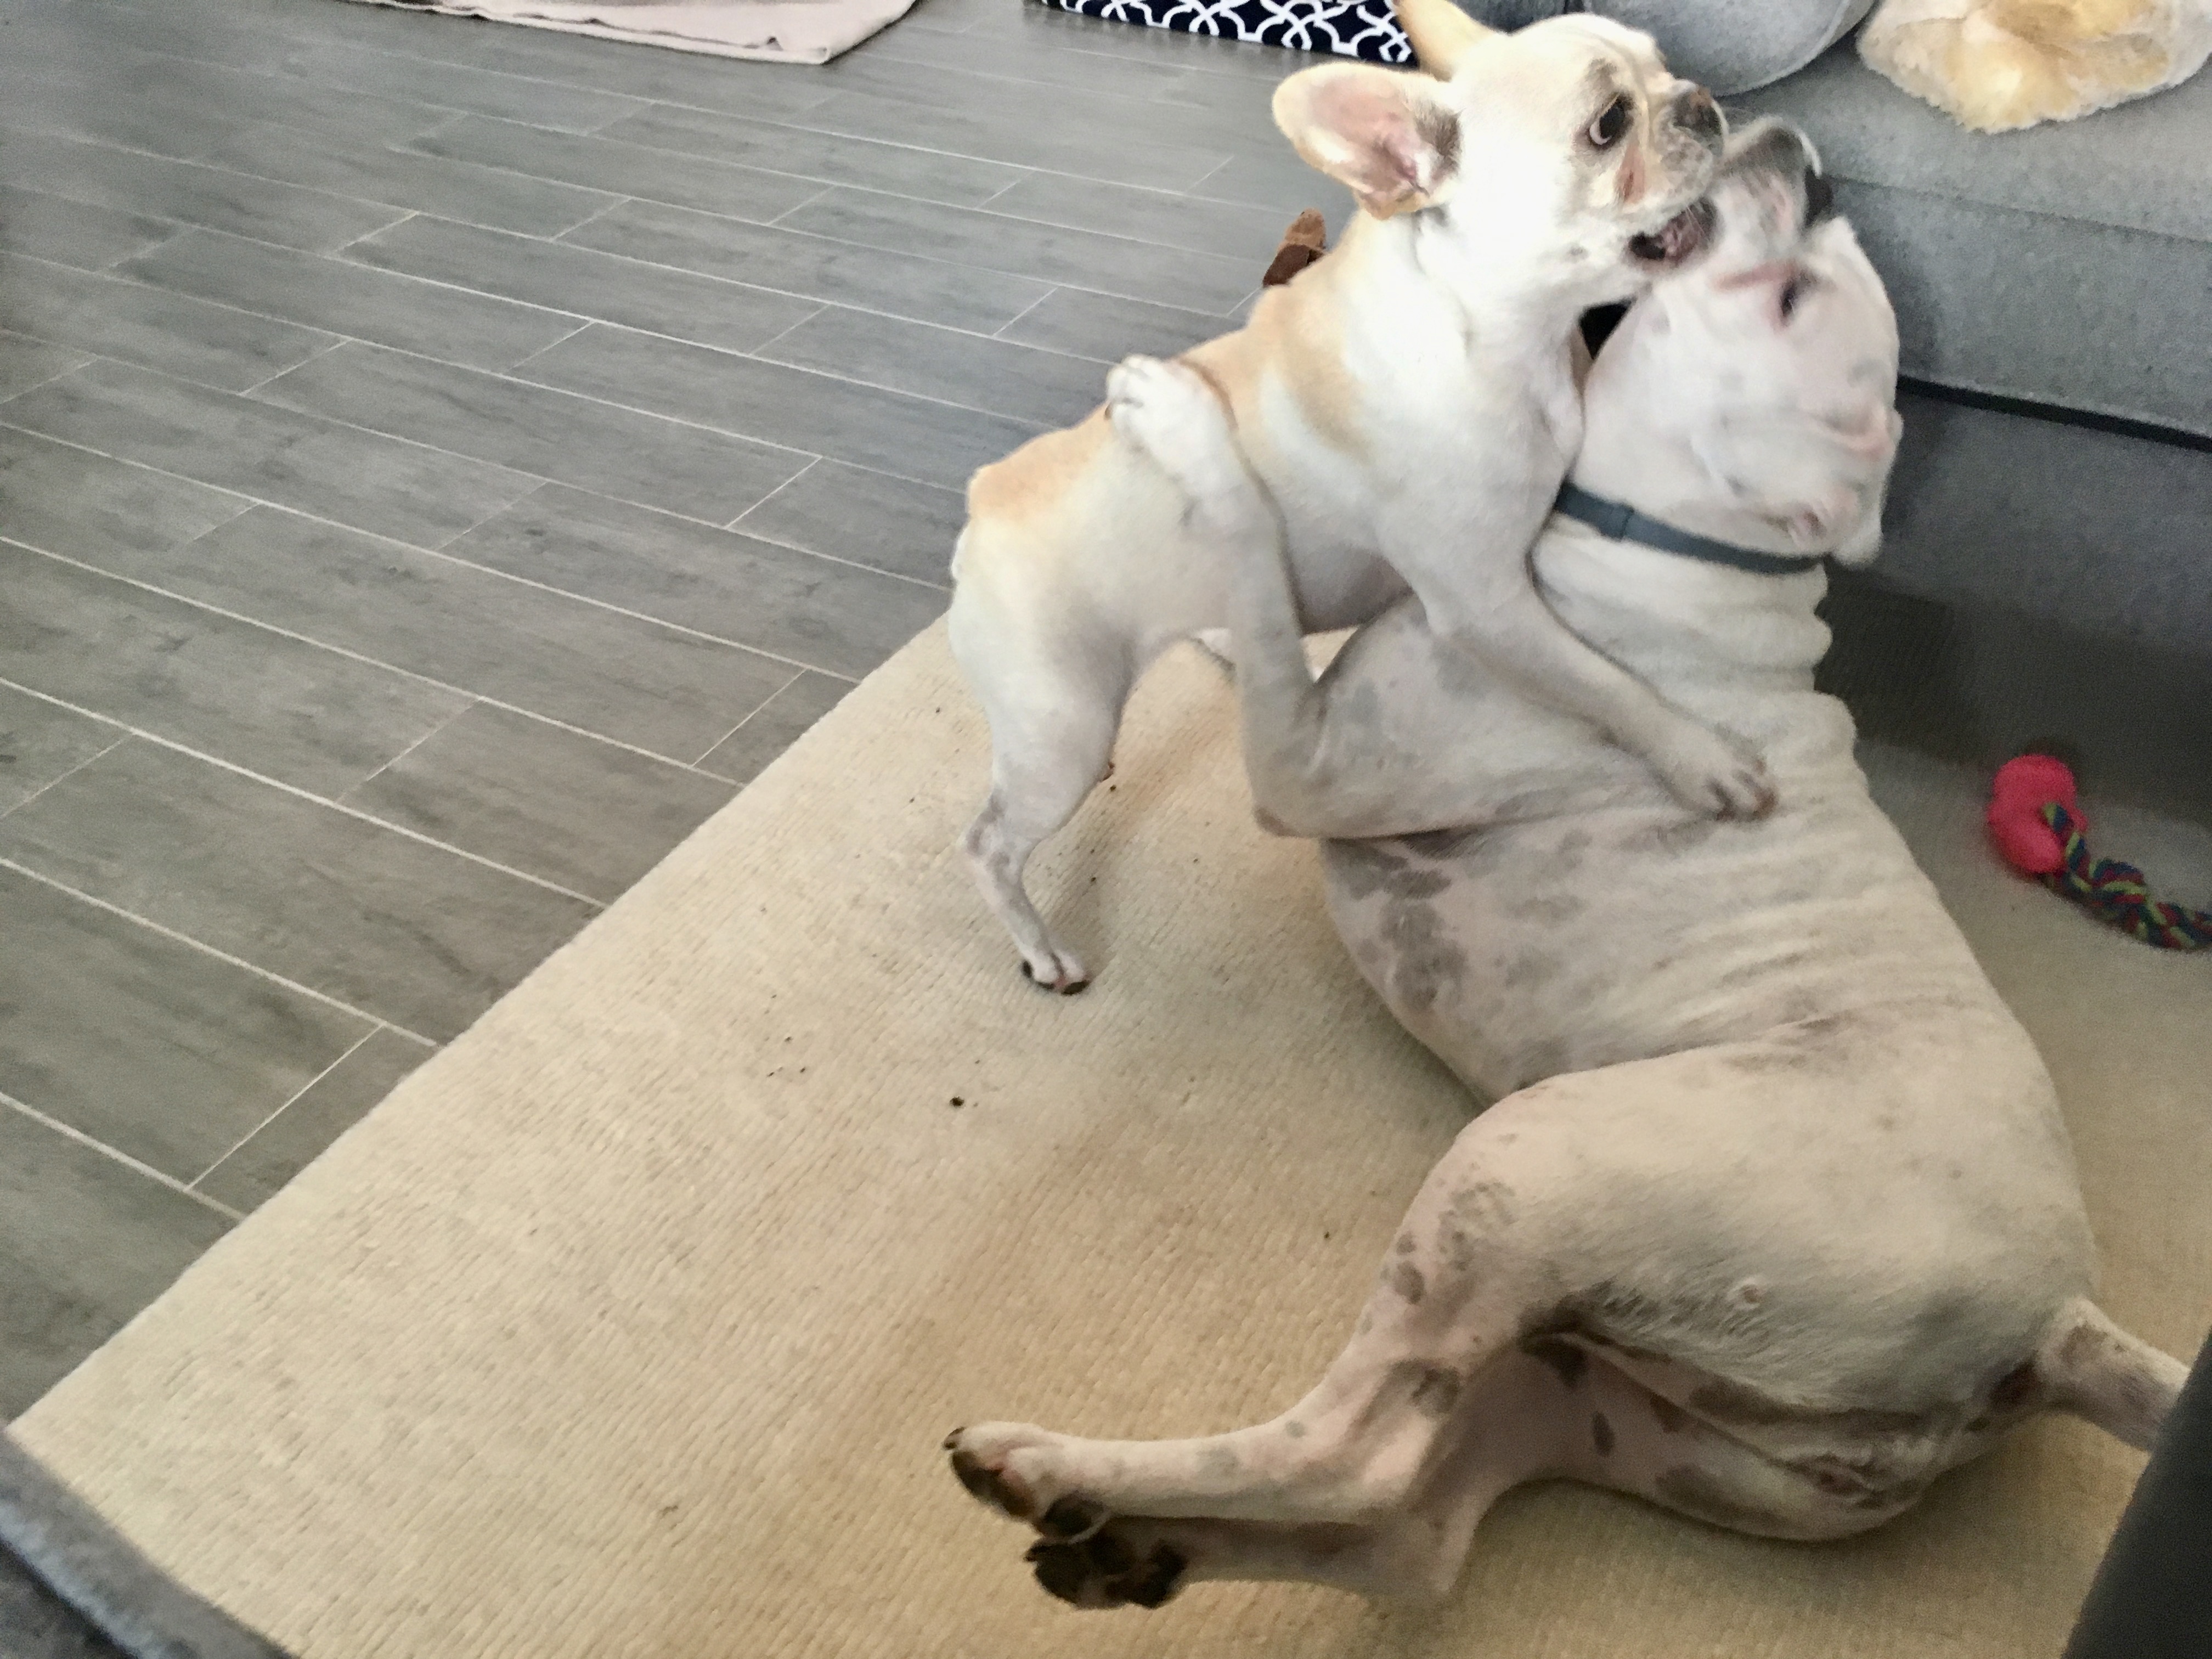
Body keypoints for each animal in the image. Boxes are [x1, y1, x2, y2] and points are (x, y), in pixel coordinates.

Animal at [942, 123, 2188, 1611]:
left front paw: (1191, 439)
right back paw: (1128, 1538)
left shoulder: (1306, 767)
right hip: (1604, 1401)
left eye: (1792, 298)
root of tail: (2049, 1325)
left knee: (1349, 1457)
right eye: (1817, 257)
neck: (1694, 564)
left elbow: (1253, 569)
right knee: (1409, 1535)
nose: (1804, 153)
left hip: (1528, 1172)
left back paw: (1049, 1467)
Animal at [947, 0, 1746, 993]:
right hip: (1065, 730)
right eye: (1607, 125)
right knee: (988, 846)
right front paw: (1697, 754)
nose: (1699, 100)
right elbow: (1608, 682)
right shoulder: (1486, 606)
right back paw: (1041, 947)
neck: (1496, 328)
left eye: (1663, 63)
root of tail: (984, 503)